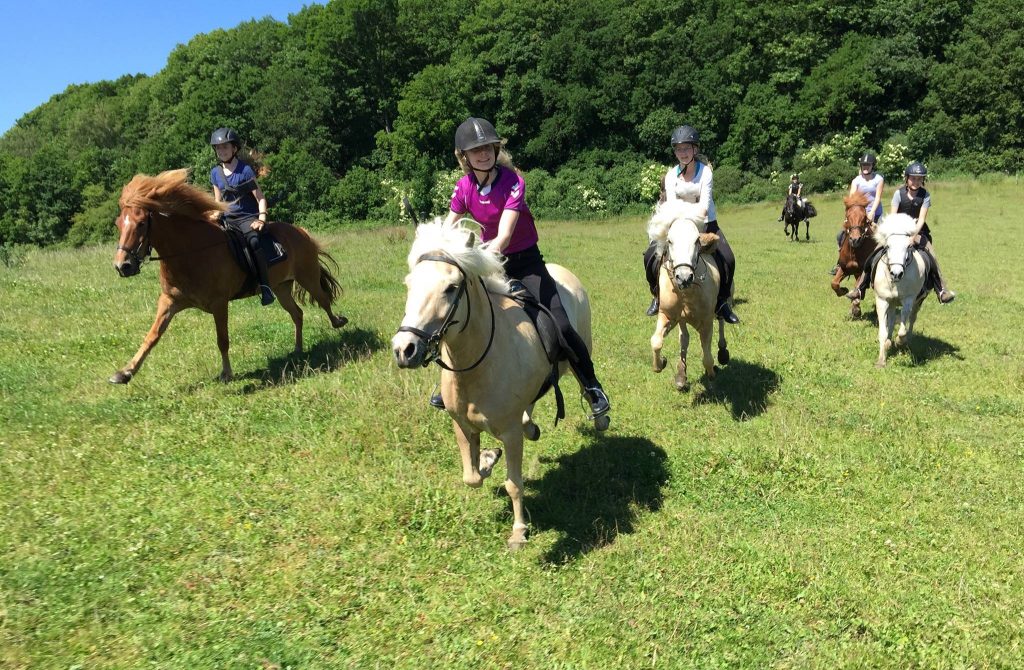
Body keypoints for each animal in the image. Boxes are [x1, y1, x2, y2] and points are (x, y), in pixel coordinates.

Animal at [110, 169, 346, 383]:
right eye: (118, 224)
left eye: (141, 223)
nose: (123, 266)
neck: (191, 251)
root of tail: (301, 232)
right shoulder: (169, 301)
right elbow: (152, 336)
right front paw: (125, 372)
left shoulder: (219, 303)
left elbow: (222, 339)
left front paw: (226, 373)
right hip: (281, 288)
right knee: (297, 313)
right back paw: (298, 349)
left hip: (308, 277)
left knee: (323, 299)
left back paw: (338, 322)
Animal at [389, 220, 598, 553]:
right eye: (410, 285)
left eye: (451, 288)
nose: (404, 349)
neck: (478, 364)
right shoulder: (461, 426)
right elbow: (471, 476)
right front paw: (487, 459)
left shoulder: (510, 435)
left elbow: (514, 484)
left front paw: (519, 532)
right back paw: (530, 426)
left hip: (580, 349)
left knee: (584, 378)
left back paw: (599, 410)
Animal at [647, 197, 729, 393]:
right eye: (669, 241)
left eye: (697, 241)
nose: (683, 277)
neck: (687, 293)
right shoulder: (667, 315)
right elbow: (656, 341)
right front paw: (660, 364)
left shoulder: (706, 322)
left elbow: (707, 357)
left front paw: (712, 377)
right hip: (681, 320)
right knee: (684, 339)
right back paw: (681, 376)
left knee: (722, 320)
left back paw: (723, 352)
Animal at [831, 190, 880, 319]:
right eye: (848, 217)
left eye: (864, 218)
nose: (855, 239)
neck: (855, 250)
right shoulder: (844, 268)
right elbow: (834, 284)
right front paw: (843, 290)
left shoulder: (862, 272)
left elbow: (858, 289)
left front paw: (856, 309)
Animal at [872, 215, 929, 370]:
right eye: (887, 246)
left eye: (908, 246)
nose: (896, 273)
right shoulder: (882, 300)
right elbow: (883, 331)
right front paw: (881, 360)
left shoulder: (909, 300)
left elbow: (903, 326)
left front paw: (899, 341)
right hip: (892, 303)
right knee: (891, 320)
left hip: (918, 302)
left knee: (912, 319)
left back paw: (906, 341)